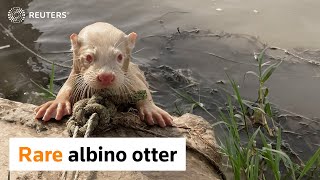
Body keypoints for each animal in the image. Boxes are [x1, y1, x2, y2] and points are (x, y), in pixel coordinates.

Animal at [35, 21, 172, 127]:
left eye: (119, 56)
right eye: (89, 57)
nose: (106, 76)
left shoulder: (132, 78)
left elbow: (142, 88)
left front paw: (152, 111)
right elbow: (65, 89)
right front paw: (56, 105)